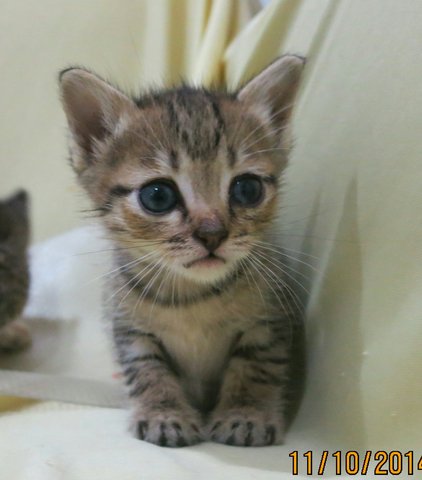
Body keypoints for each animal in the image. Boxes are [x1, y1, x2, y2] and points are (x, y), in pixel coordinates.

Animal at [58, 55, 304, 446]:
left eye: (247, 189)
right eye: (158, 196)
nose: (213, 234)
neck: (193, 298)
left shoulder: (270, 321)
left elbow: (256, 367)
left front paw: (245, 414)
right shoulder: (129, 329)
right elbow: (147, 370)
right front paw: (164, 414)